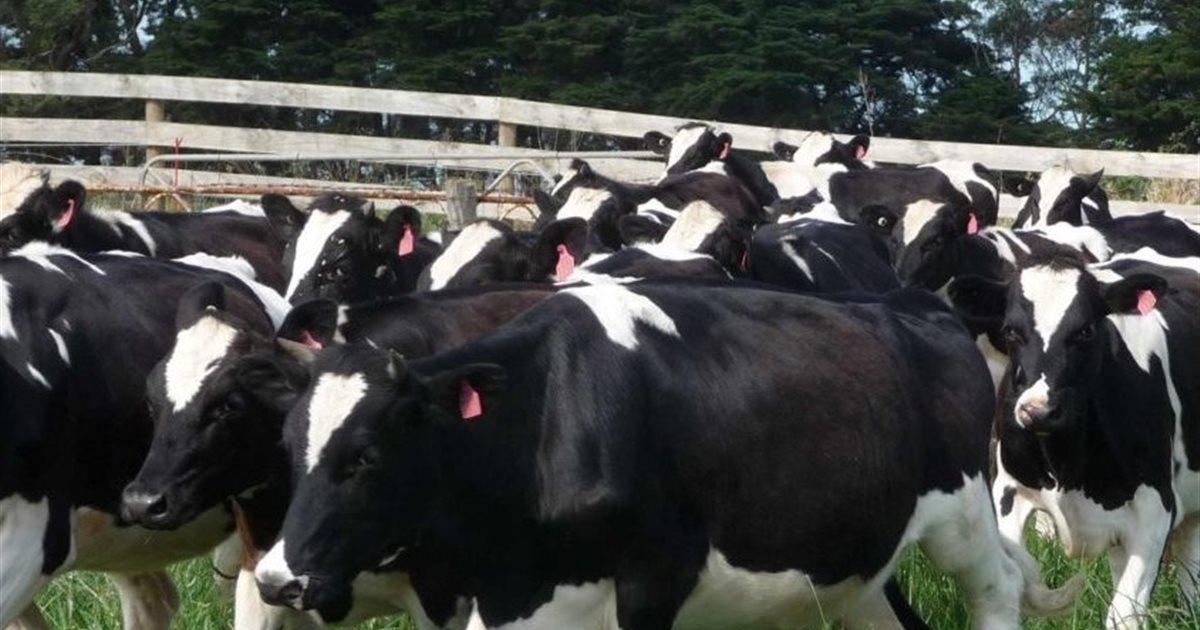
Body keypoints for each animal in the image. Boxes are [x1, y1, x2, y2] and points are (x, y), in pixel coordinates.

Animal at [256, 282, 1080, 629]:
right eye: (287, 450)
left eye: (365, 457)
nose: (275, 579)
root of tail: (926, 307)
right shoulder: (511, 601)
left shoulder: (653, 578)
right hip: (852, 560)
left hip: (961, 515)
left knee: (998, 590)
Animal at [975, 251, 1200, 629]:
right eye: (1011, 331)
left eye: (1085, 330)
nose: (1037, 410)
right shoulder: (1008, 490)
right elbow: (1021, 584)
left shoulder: (1156, 509)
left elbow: (1123, 614)